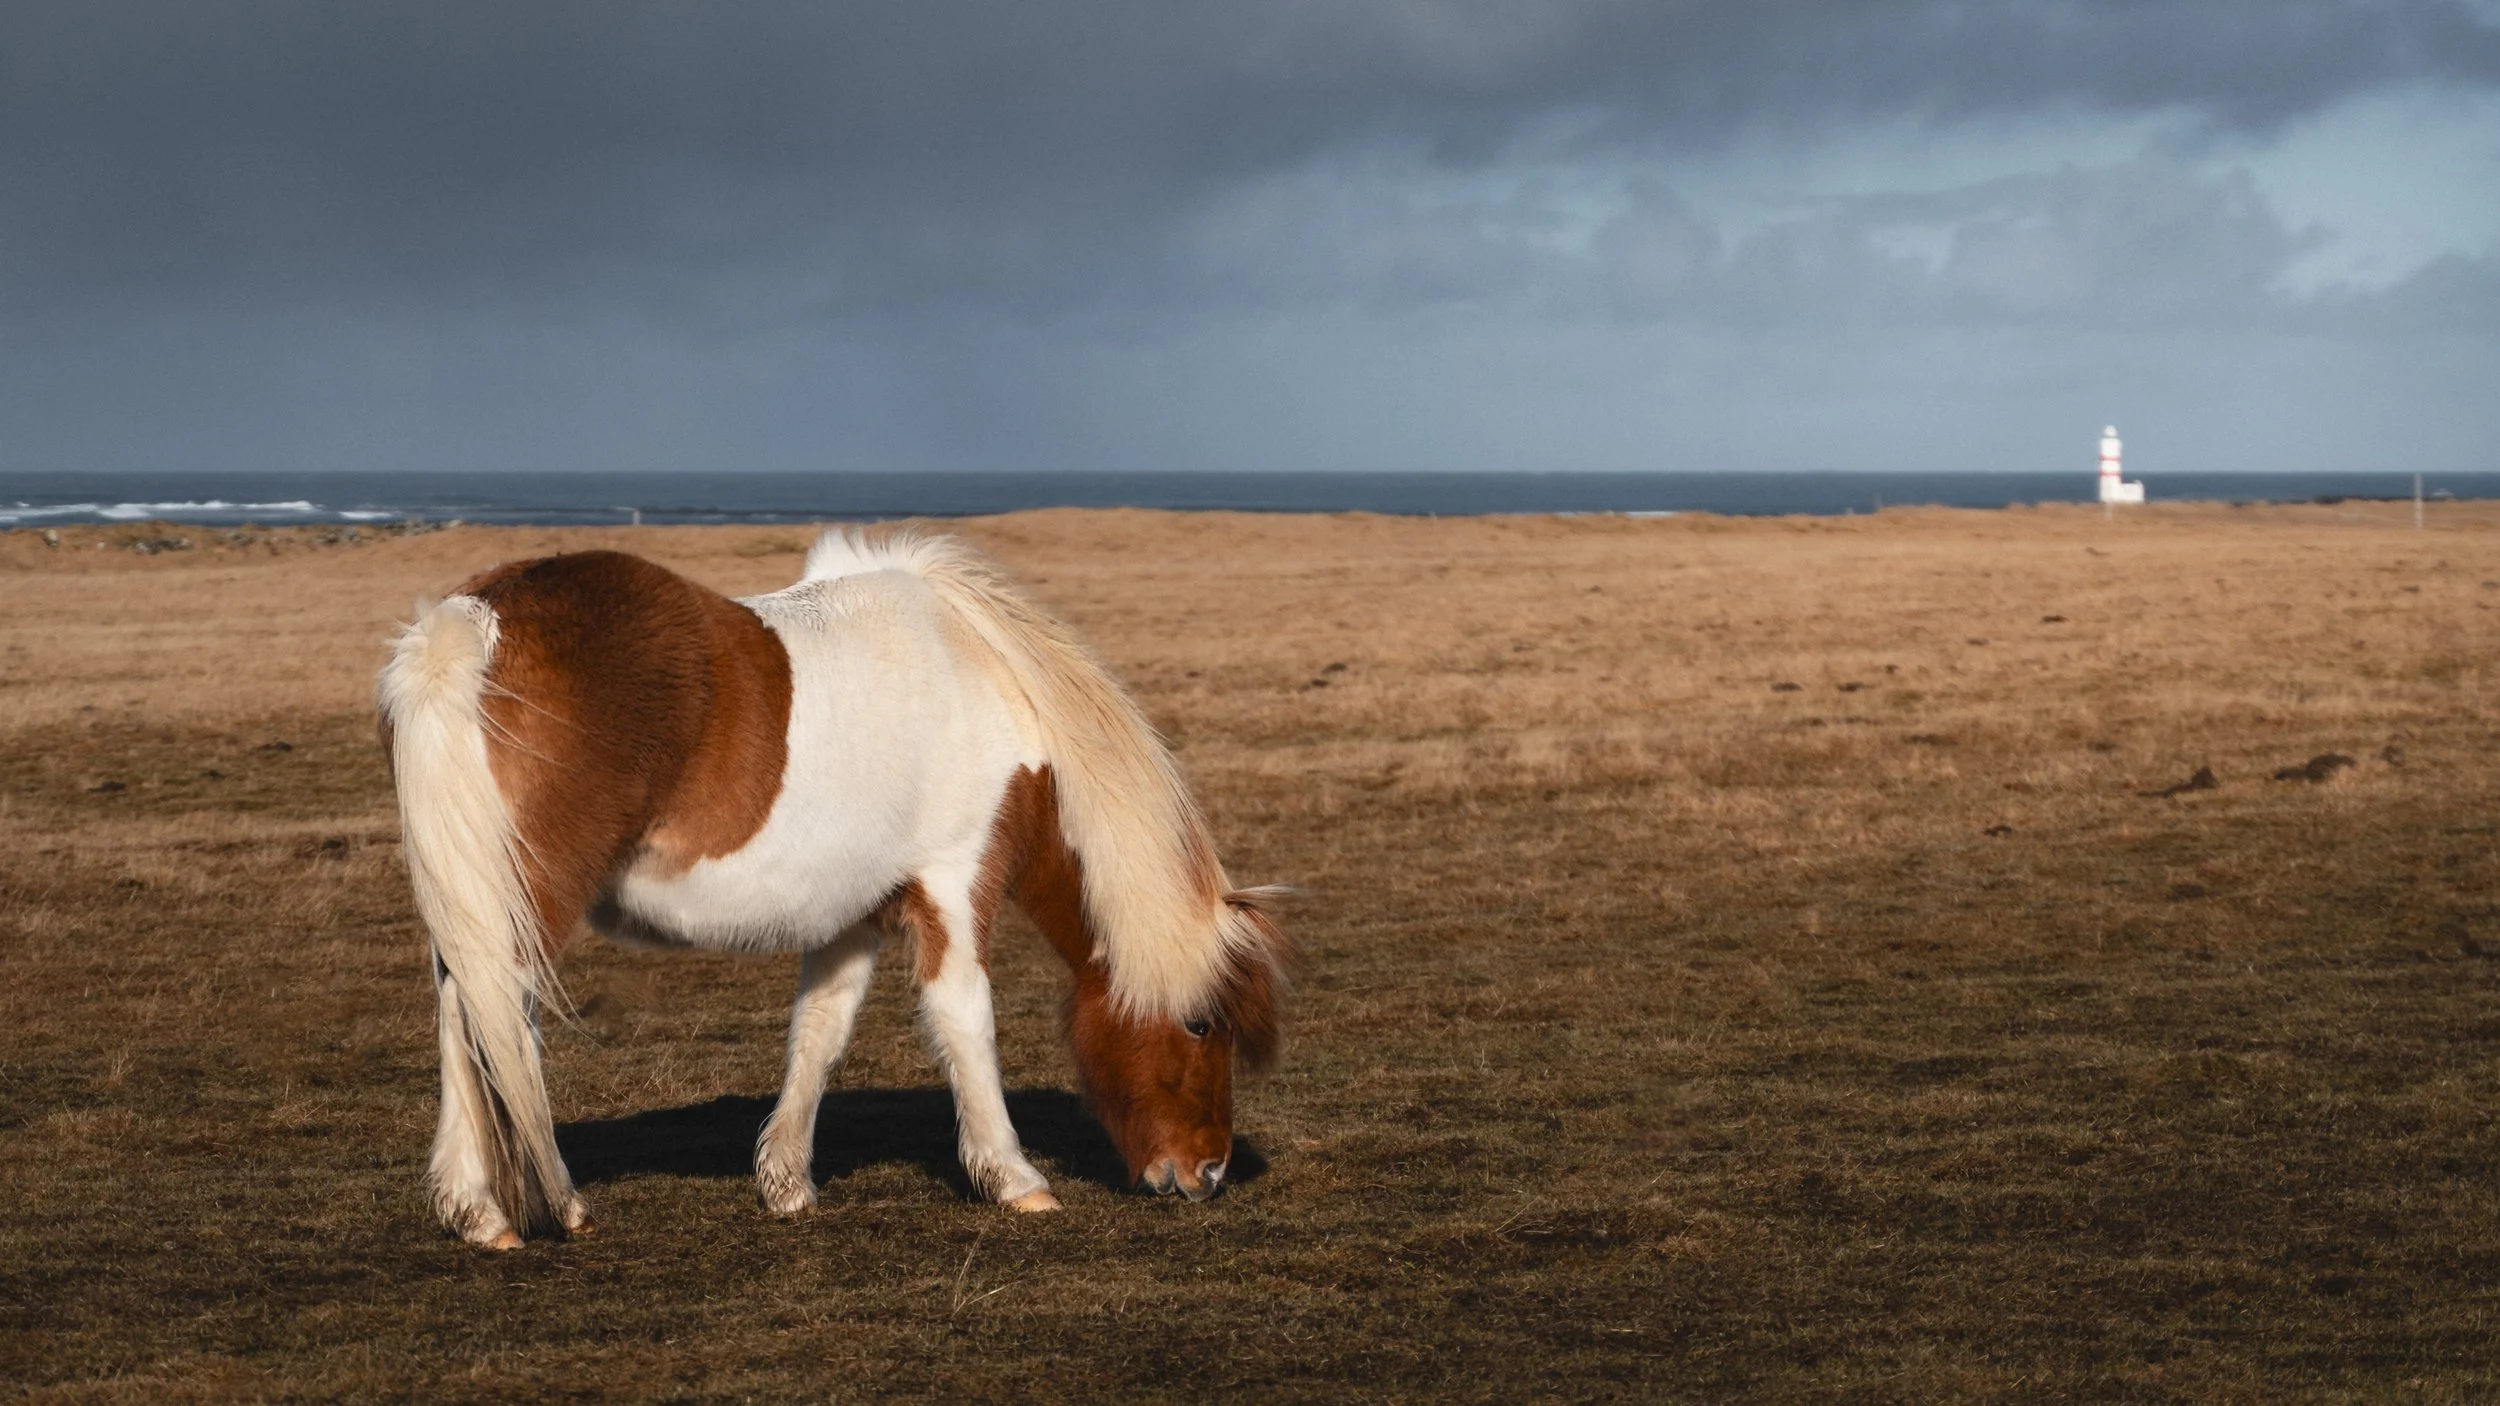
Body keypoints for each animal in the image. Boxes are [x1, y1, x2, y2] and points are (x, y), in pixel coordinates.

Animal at [378, 526, 1289, 1249]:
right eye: (1201, 1025)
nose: (1204, 1173)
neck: (985, 677)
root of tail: (471, 623)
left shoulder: (854, 916)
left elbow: (820, 1031)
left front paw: (786, 1183)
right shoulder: (957, 884)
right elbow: (965, 1020)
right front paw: (1016, 1178)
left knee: (467, 1015)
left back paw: (479, 1215)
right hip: (527, 902)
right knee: (497, 1022)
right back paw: (548, 1205)